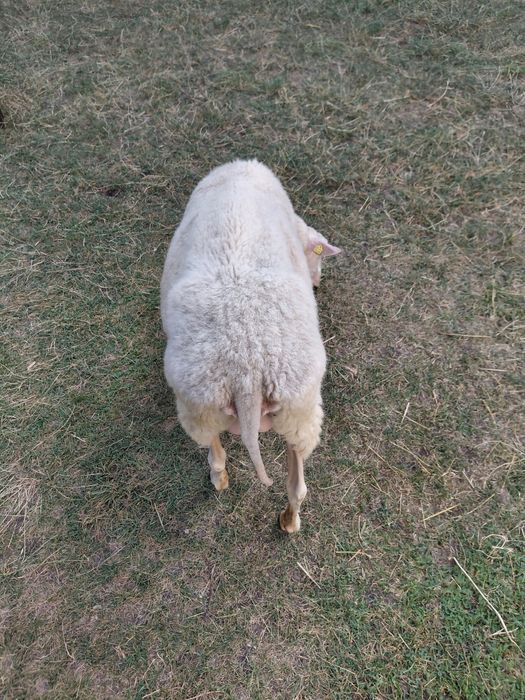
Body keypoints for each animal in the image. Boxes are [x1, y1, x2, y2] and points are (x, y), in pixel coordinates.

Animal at [161, 159, 341, 532]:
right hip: (297, 405)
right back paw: (287, 520)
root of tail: (246, 369)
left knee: (219, 454)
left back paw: (230, 486)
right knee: (295, 483)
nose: (317, 282)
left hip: (207, 406)